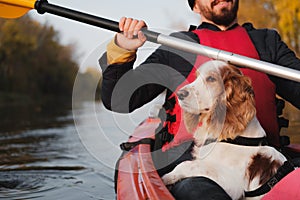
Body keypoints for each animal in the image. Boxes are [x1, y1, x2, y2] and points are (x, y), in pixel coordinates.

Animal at [161, 60, 288, 199]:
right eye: (196, 77)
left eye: (211, 79)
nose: (180, 94)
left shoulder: (234, 184)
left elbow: (188, 165)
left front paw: (166, 177)